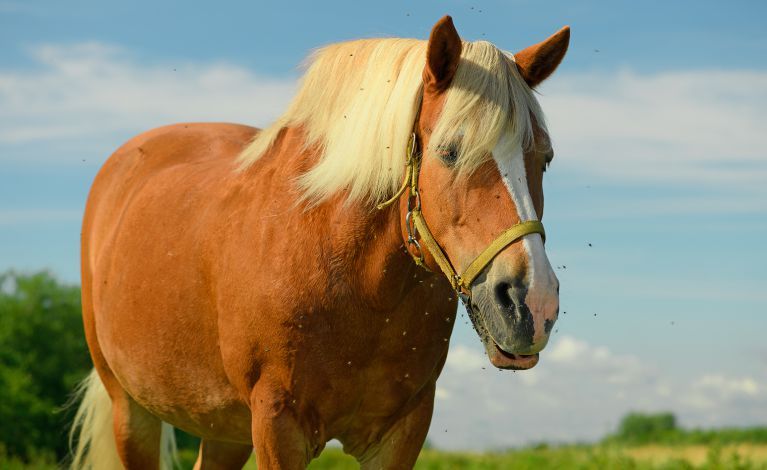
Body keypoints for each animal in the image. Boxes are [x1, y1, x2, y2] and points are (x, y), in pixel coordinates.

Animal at [70, 15, 569, 469]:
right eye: (449, 152)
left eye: (544, 158)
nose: (532, 304)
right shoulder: (277, 425)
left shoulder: (402, 430)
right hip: (132, 411)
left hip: (223, 429)